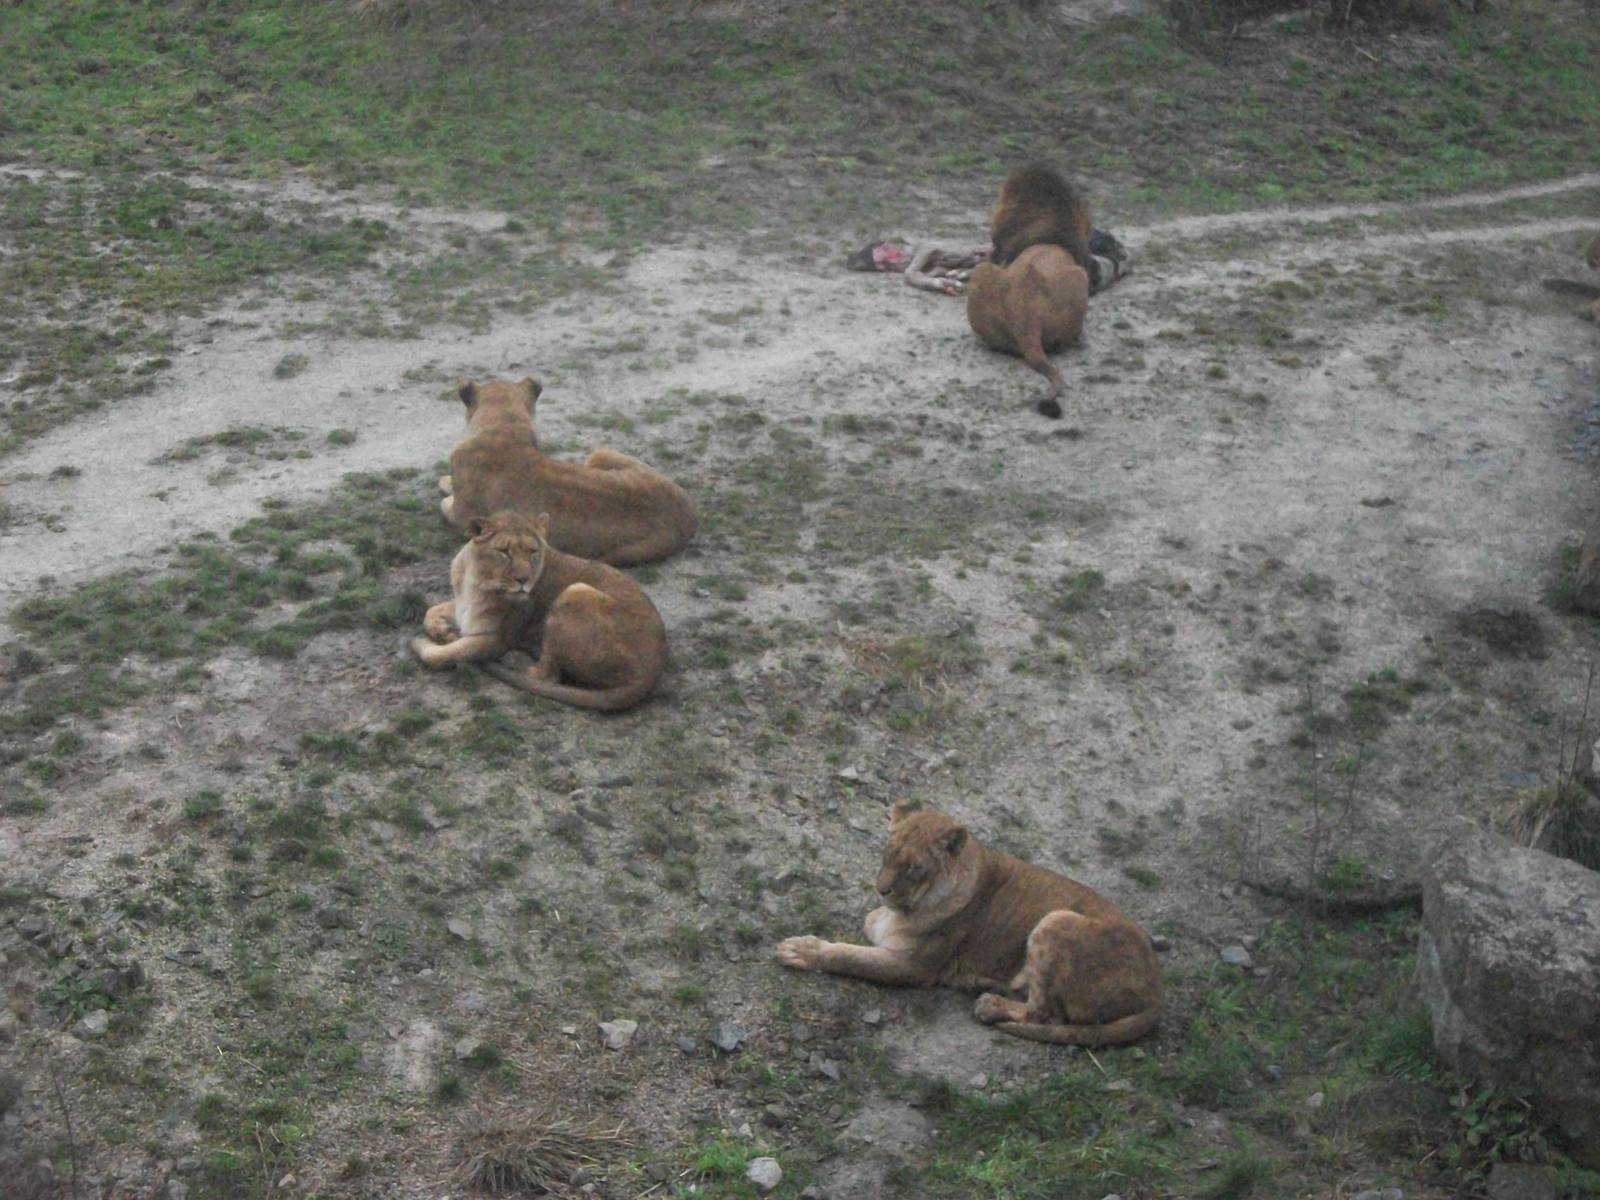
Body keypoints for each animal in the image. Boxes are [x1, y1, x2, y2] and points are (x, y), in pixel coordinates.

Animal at [411, 511, 667, 712]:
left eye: (533, 552)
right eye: (504, 551)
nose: (523, 580)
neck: (475, 581)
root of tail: (649, 673)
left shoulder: (498, 638)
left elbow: (445, 654)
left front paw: (428, 642)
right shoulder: (462, 607)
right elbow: (431, 610)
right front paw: (442, 630)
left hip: (575, 591)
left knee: (548, 675)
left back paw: (514, 659)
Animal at [439, 377, 697, 566]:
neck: (503, 430)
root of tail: (688, 515)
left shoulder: (461, 517)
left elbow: (445, 503)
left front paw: (444, 483)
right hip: (600, 454)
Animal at [777, 802, 1161, 1046]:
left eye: (914, 868)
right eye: (886, 854)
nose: (881, 889)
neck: (909, 907)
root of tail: (1155, 994)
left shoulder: (915, 968)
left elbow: (849, 957)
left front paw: (800, 949)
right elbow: (868, 924)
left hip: (1056, 919)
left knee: (1044, 1014)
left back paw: (989, 1003)